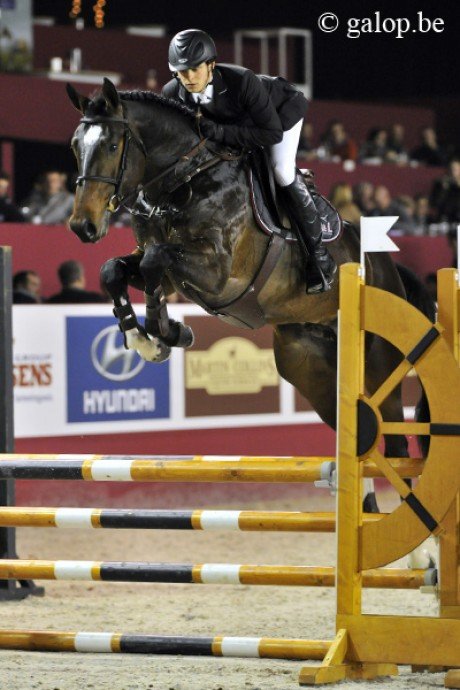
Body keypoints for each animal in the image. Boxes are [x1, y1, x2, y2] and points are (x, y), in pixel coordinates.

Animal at [66, 78, 434, 515]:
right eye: (75, 146)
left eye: (110, 145)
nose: (82, 227)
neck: (181, 179)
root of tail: (388, 268)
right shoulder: (169, 272)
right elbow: (115, 270)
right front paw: (147, 339)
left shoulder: (219, 271)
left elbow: (156, 261)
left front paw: (166, 333)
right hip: (311, 369)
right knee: (361, 438)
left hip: (379, 369)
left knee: (396, 448)